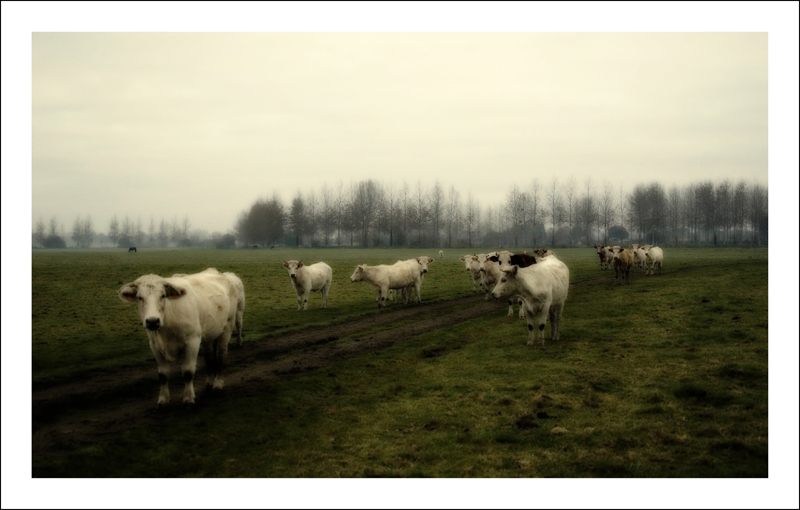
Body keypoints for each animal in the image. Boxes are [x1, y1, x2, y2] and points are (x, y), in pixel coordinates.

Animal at [117, 268, 239, 406]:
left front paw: (188, 398)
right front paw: (163, 399)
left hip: (227, 326)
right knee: (208, 357)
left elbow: (188, 371)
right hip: (208, 334)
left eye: (163, 296)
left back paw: (218, 384)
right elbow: (163, 374)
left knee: (221, 354)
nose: (153, 321)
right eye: (139, 297)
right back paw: (208, 384)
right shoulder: (154, 345)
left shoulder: (192, 342)